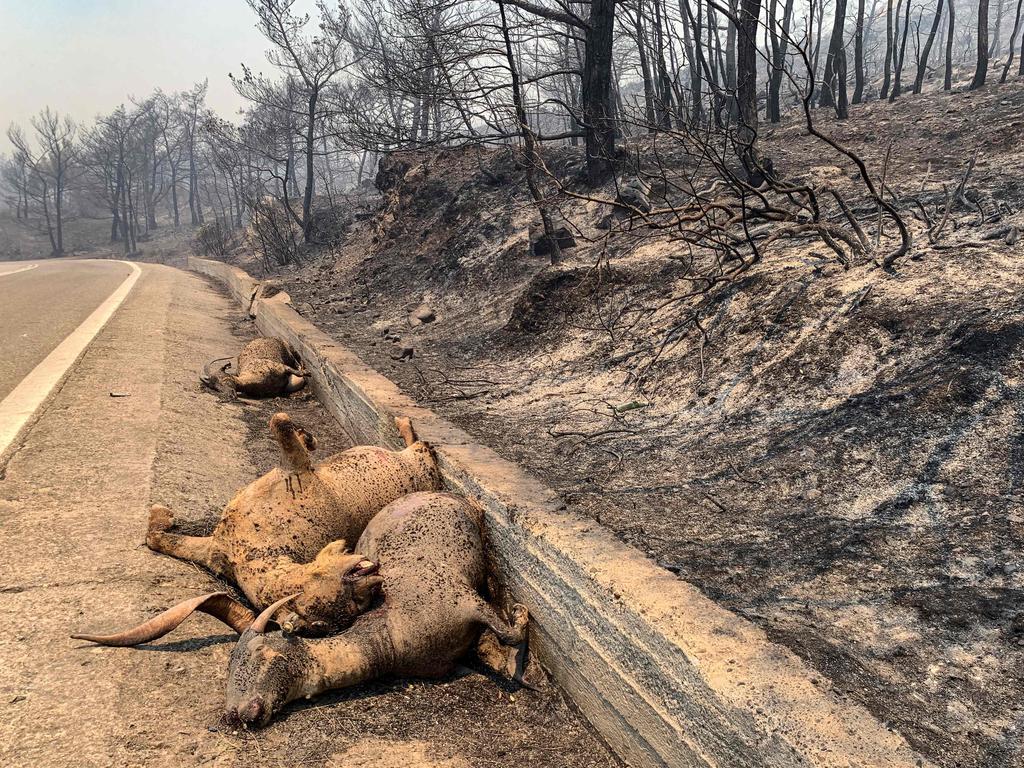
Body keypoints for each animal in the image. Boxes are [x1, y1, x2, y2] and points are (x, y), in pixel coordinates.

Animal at [71, 417, 440, 638]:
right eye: (353, 602)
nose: (376, 578)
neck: (253, 550)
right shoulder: (215, 547)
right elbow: (156, 537)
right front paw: (162, 516)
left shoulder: (296, 470)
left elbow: (281, 422)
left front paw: (306, 436)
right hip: (418, 463)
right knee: (419, 447)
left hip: (421, 467)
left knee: (420, 448)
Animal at [224, 493, 528, 729]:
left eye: (256, 652)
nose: (235, 714)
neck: (388, 633)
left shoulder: (465, 599)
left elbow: (509, 634)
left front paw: (521, 614)